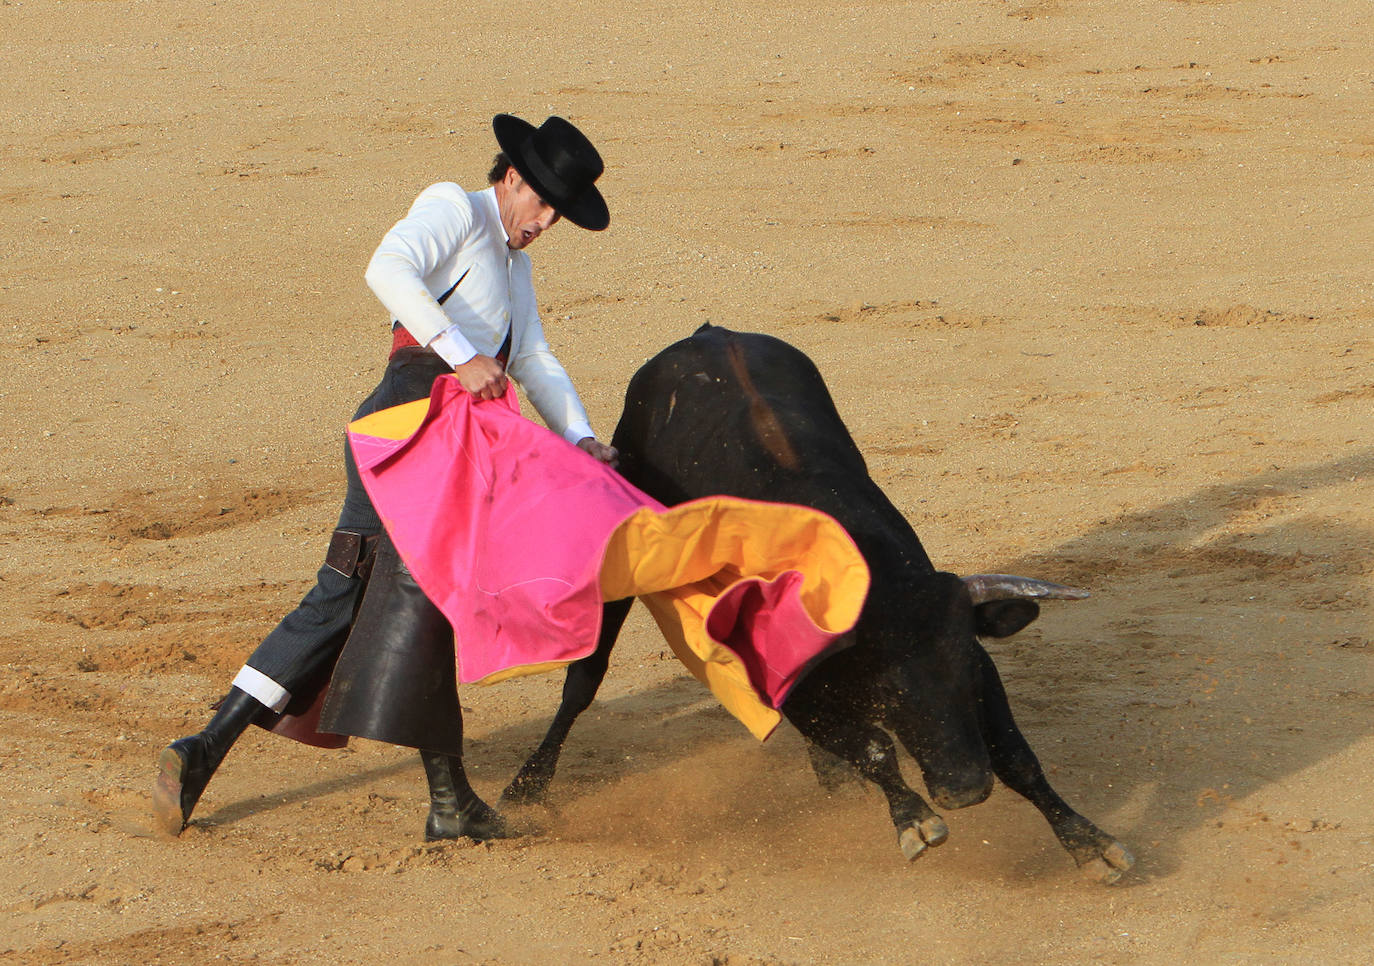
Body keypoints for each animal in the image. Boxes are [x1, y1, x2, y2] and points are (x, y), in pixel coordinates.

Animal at [500, 322, 1132, 884]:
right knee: (583, 682)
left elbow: (1015, 754)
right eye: (888, 690)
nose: (966, 788)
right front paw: (914, 820)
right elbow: (875, 747)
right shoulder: (789, 684)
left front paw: (1089, 842)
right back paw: (524, 789)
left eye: (966, 673)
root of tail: (705, 335)